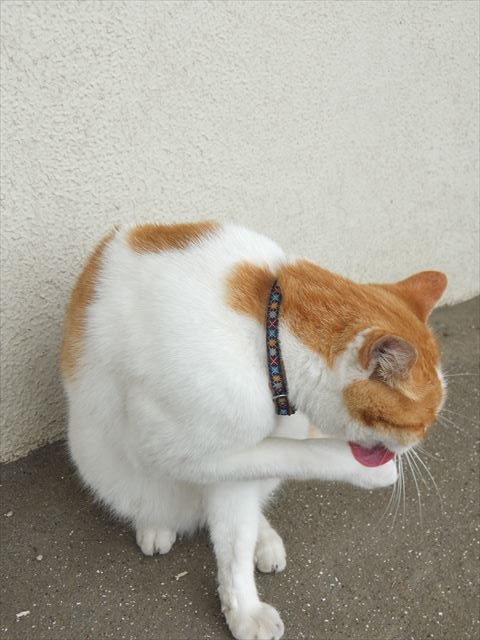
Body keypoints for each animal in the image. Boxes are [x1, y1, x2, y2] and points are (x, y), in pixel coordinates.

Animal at [60, 221, 446, 640]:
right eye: (420, 423)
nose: (419, 444)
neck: (267, 338)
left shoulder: (233, 464)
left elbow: (236, 538)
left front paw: (242, 607)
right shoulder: (177, 450)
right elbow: (298, 455)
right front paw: (373, 472)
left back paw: (265, 539)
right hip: (102, 463)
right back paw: (155, 524)